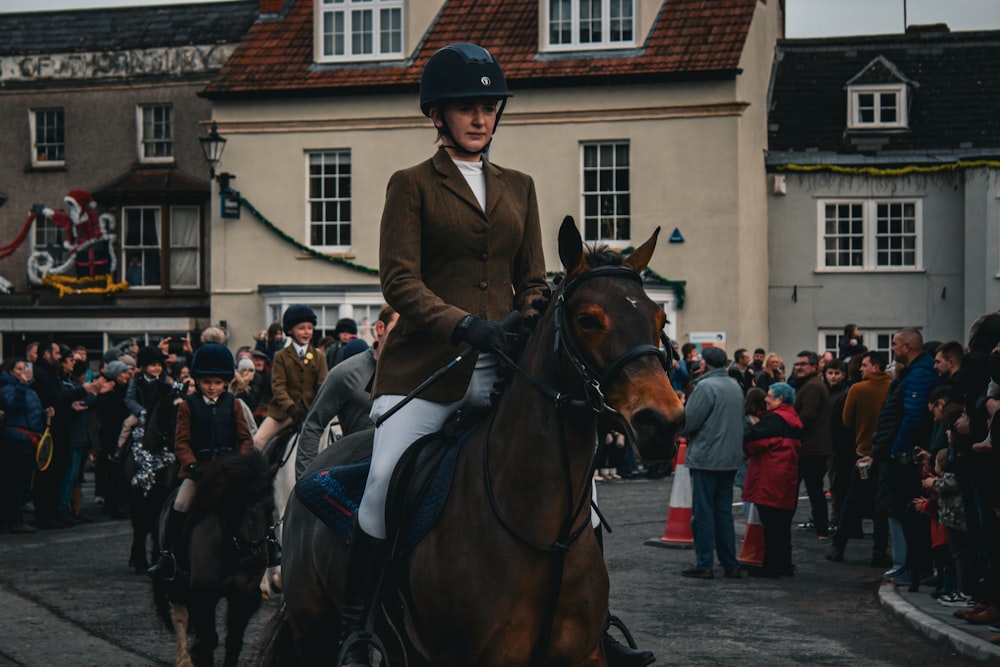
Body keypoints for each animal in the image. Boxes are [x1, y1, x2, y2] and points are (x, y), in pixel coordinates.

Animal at [154, 452, 276, 667]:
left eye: (270, 508)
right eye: (235, 505)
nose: (254, 560)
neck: (230, 551)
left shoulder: (242, 596)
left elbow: (234, 640)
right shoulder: (205, 594)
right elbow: (210, 638)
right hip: (177, 582)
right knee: (180, 617)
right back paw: (184, 659)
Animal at [256, 219, 688, 667]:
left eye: (660, 321)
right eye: (587, 319)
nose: (662, 421)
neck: (541, 530)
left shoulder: (582, 655)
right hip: (314, 630)